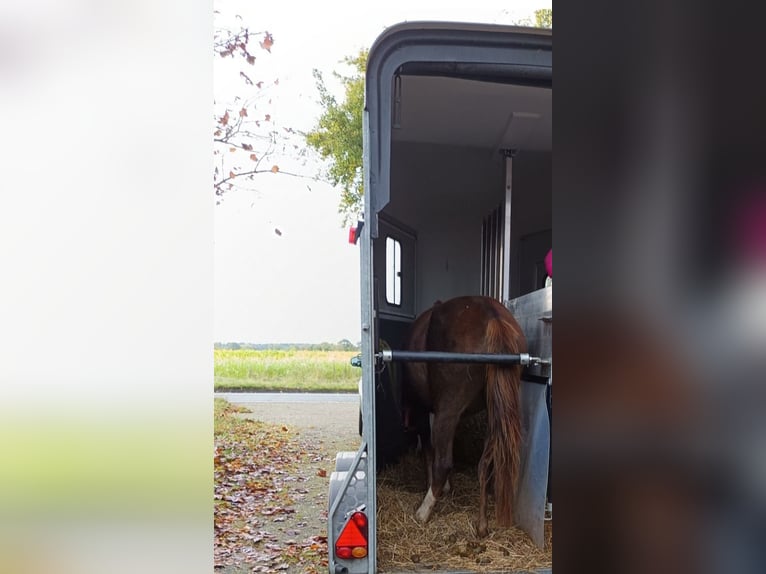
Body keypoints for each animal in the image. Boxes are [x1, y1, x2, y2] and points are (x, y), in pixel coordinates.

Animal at [402, 296, 528, 540]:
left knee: (443, 463)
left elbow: (430, 451)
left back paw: (423, 513)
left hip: (448, 410)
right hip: (493, 415)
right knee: (485, 465)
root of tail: (492, 315)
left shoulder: (425, 411)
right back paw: (482, 526)